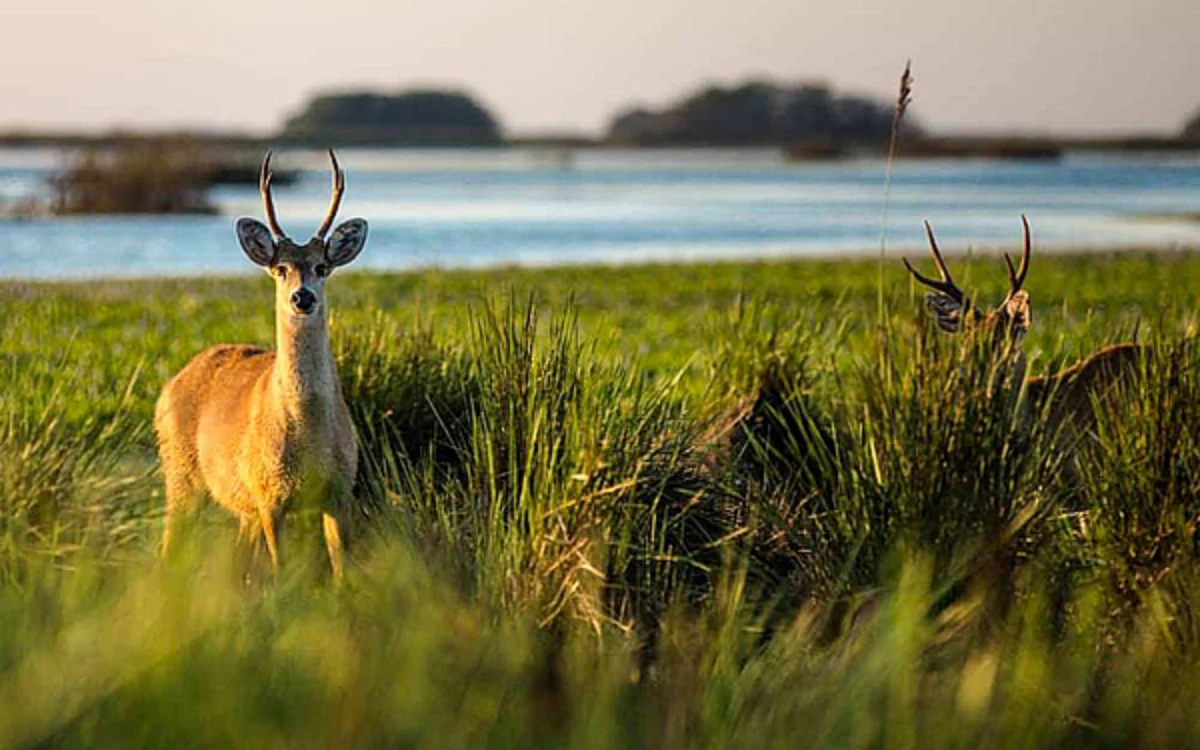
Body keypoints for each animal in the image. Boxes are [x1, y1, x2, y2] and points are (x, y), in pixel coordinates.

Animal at [154, 150, 367, 579]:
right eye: (280, 268)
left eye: (322, 267)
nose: (302, 297)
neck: (309, 436)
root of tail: (170, 384)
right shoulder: (268, 494)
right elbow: (281, 569)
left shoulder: (339, 492)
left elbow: (341, 569)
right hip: (181, 473)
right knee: (168, 546)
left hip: (238, 507)